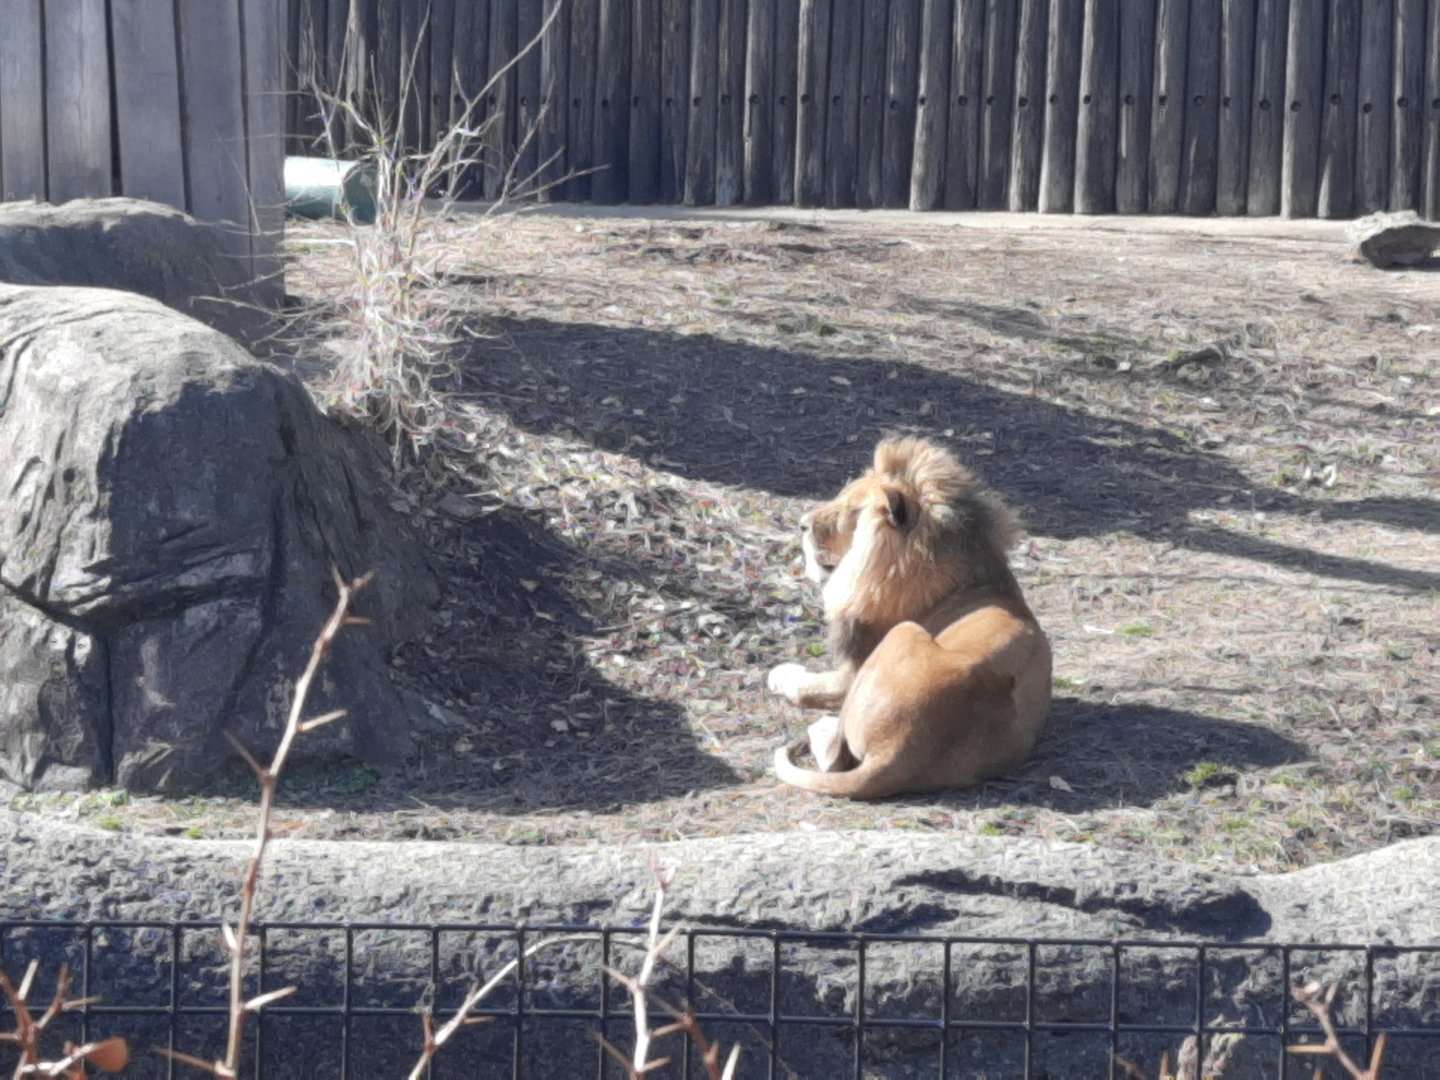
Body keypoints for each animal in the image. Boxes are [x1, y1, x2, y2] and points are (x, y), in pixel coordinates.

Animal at [767, 437, 1052, 799]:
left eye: (848, 510)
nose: (801, 523)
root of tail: (900, 749)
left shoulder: (852, 669)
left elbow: (806, 684)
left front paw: (780, 674)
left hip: (903, 633)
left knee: (832, 759)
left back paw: (820, 727)